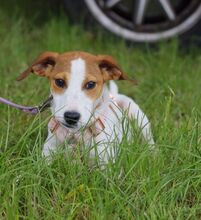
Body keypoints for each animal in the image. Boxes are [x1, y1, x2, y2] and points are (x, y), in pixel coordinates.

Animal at [17, 51, 155, 164]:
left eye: (91, 84)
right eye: (59, 81)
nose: (71, 117)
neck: (75, 135)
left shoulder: (105, 164)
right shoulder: (47, 155)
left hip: (138, 116)